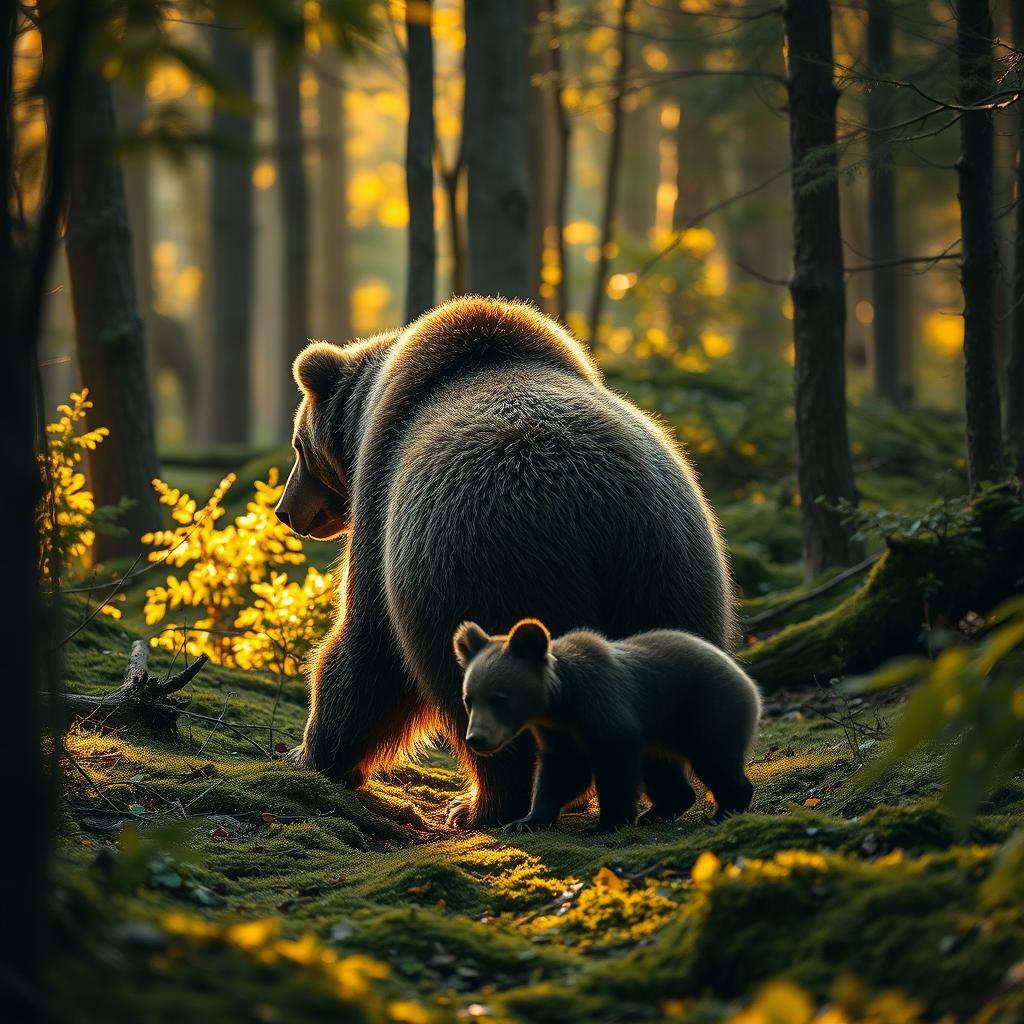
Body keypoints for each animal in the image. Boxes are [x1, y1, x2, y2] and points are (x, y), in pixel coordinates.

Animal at [274, 296, 736, 828]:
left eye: (297, 445)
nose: (285, 510)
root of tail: (593, 510)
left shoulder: (381, 510)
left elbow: (366, 646)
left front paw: (313, 755)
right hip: (666, 572)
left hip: (490, 570)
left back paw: (480, 806)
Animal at [453, 618, 761, 833]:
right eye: (469, 699)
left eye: (498, 699)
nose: (476, 738)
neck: (561, 702)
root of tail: (746, 679)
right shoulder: (558, 733)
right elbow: (562, 772)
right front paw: (524, 821)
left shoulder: (605, 707)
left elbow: (615, 767)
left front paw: (605, 824)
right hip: (662, 732)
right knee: (663, 770)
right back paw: (656, 812)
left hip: (706, 708)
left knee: (715, 759)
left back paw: (725, 810)